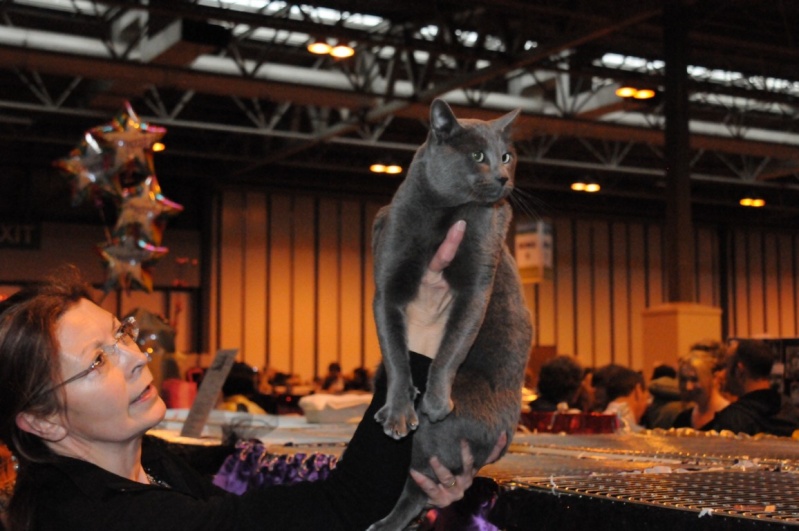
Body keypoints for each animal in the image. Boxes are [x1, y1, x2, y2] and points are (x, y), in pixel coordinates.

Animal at [370, 101, 536, 531]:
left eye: (506, 156)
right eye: (477, 156)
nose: (502, 177)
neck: (442, 214)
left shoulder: (477, 283)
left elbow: (450, 348)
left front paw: (434, 401)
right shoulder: (388, 284)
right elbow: (396, 355)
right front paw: (399, 411)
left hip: (442, 437)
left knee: (417, 487)